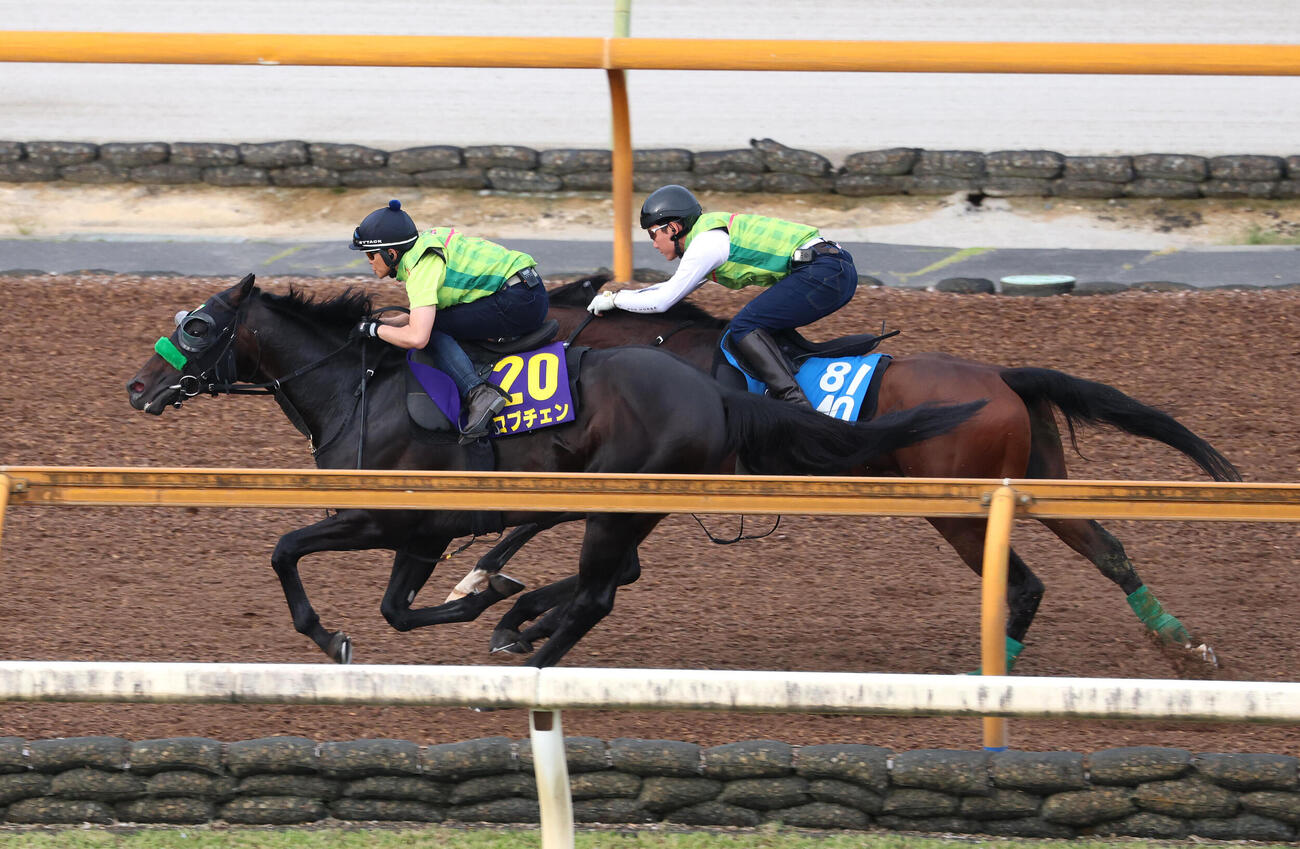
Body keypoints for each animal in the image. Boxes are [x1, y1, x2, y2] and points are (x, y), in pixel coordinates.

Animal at [125, 273, 980, 669]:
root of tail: (716, 389)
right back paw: (523, 625)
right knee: (613, 578)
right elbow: (399, 608)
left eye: (197, 327)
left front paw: (332, 633)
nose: (136, 387)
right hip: (626, 504)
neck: (359, 386)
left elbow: (286, 551)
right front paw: (484, 596)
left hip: (618, 501)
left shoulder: (387, 516)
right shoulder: (426, 531)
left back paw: (536, 658)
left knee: (602, 591)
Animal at [452, 274, 1241, 671]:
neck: (659, 354)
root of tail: (1002, 376)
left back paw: (989, 679)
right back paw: (1184, 645)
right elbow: (592, 556)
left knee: (1025, 582)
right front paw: (512, 608)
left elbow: (546, 526)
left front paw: (492, 592)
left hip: (957, 504)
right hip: (1035, 481)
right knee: (1108, 549)